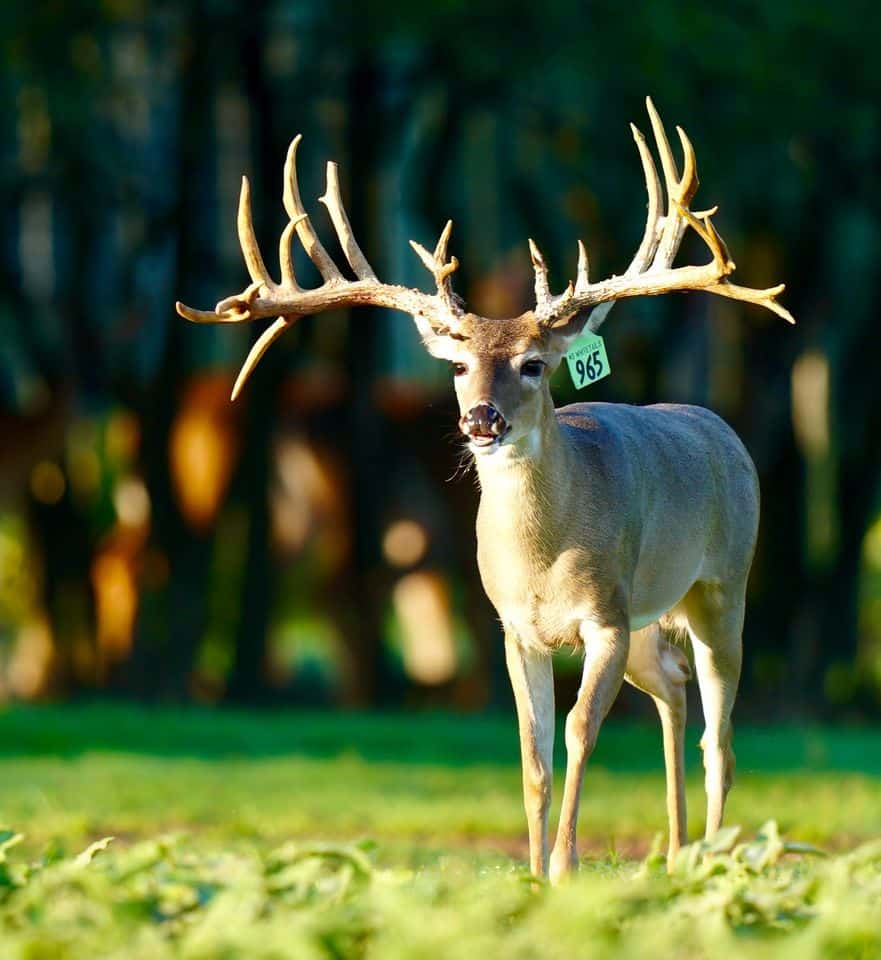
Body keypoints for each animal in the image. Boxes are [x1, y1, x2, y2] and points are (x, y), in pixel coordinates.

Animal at [177, 98, 793, 881]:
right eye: (457, 366)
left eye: (533, 364)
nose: (481, 419)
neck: (544, 557)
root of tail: (719, 427)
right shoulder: (515, 626)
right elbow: (532, 754)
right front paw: (530, 873)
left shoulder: (604, 618)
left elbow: (577, 732)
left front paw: (563, 867)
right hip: (650, 618)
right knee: (675, 687)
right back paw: (679, 852)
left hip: (721, 586)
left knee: (721, 739)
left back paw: (713, 858)